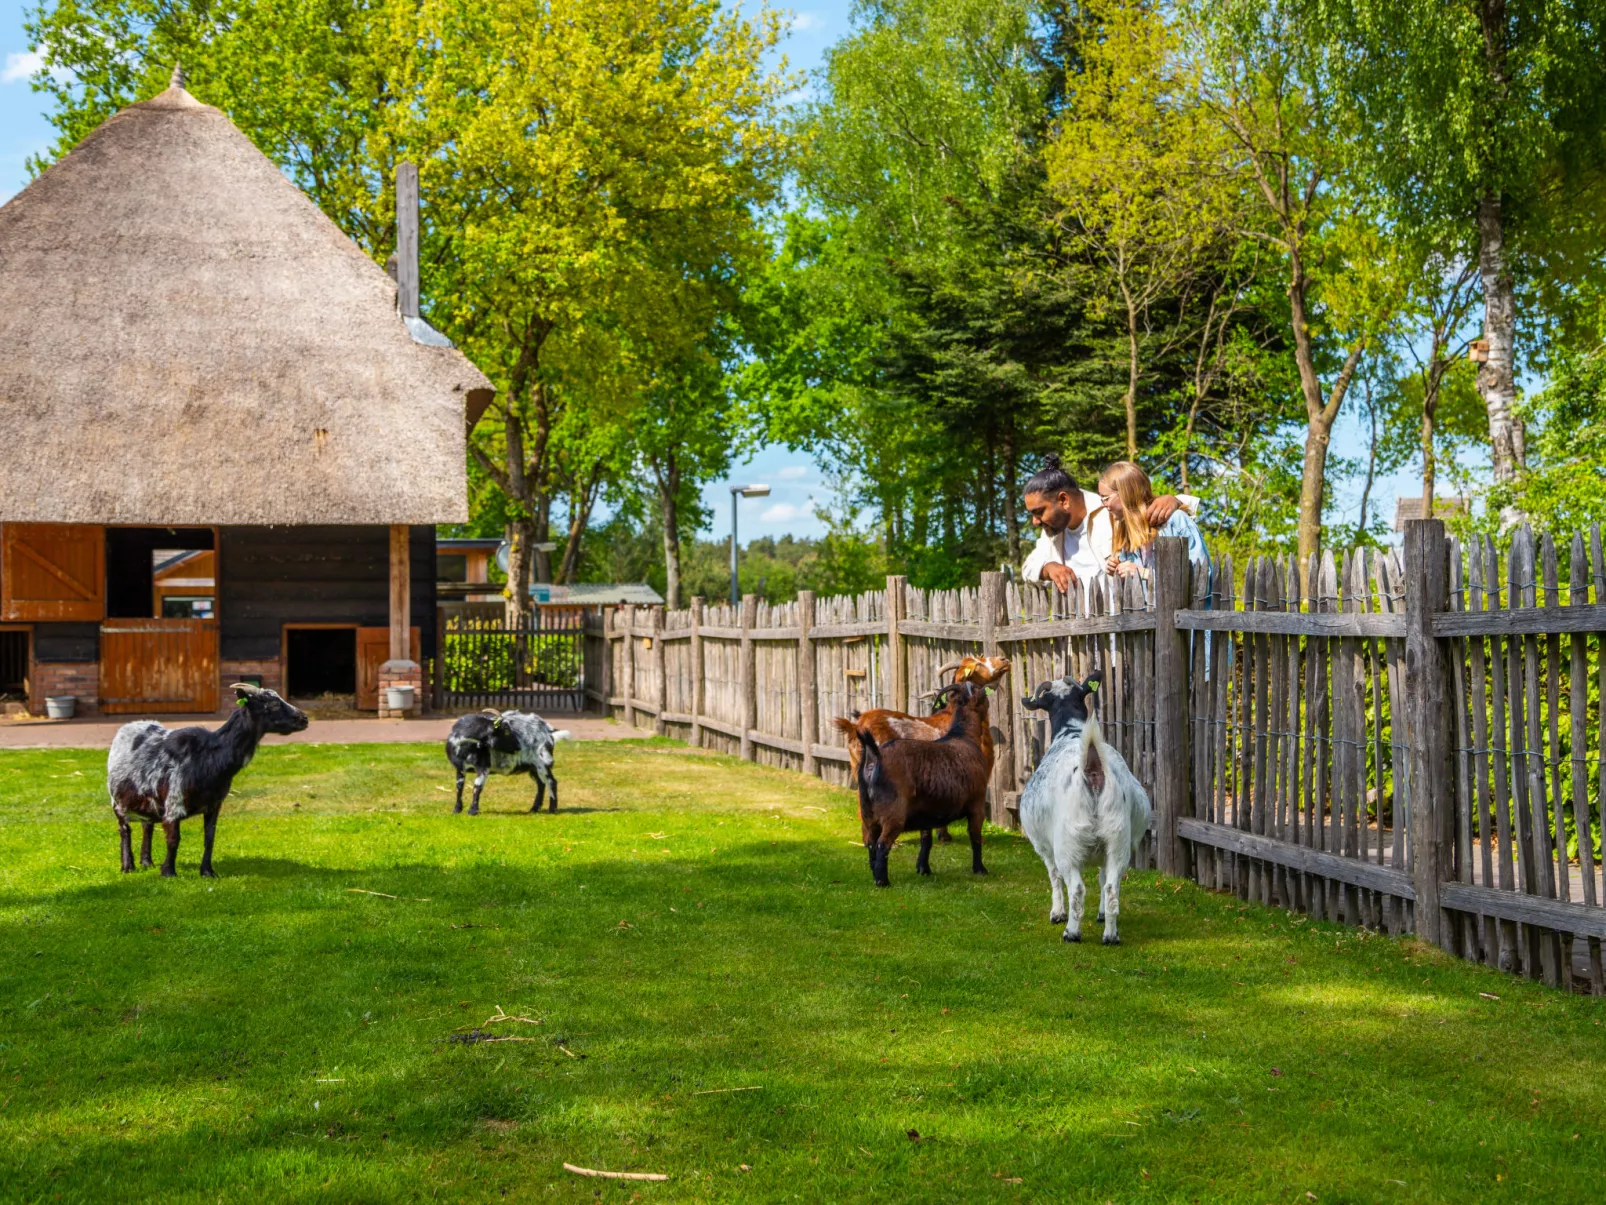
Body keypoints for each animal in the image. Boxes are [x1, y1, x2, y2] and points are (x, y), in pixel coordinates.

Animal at [107, 681, 309, 880]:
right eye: (273, 704)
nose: (304, 719)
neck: (208, 756)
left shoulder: (214, 804)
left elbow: (209, 838)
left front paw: (207, 871)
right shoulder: (174, 804)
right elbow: (173, 839)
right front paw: (168, 872)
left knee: (146, 826)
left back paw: (146, 862)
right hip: (117, 802)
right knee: (125, 829)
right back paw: (128, 866)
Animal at [854, 684, 989, 893]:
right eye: (976, 689)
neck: (964, 737)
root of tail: (874, 758)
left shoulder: (926, 811)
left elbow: (926, 840)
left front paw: (923, 869)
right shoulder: (977, 804)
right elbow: (975, 837)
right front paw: (979, 869)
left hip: (869, 814)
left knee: (870, 843)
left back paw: (874, 874)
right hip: (893, 815)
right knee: (882, 844)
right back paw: (883, 881)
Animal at [1014, 674, 1156, 951]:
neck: (1071, 732)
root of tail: (1092, 769)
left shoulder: (1045, 846)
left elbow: (1054, 876)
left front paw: (1057, 914)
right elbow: (1103, 879)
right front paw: (1100, 915)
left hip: (1068, 844)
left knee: (1077, 889)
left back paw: (1072, 932)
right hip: (1118, 839)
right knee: (1112, 887)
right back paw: (1111, 935)